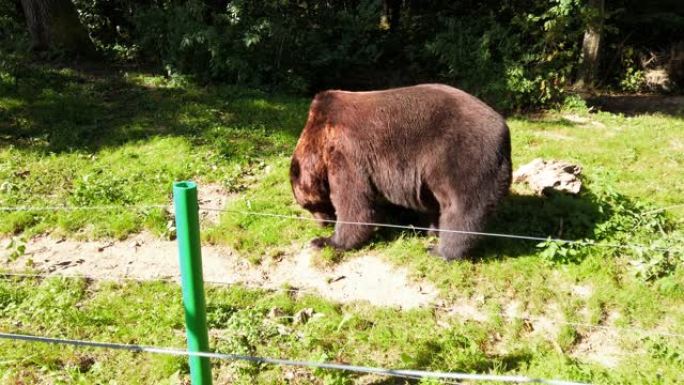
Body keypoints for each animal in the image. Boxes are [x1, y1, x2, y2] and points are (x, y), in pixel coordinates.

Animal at [288, 83, 508, 258]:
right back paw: (431, 230)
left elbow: (354, 203)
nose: (322, 223)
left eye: (308, 206)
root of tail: (504, 129)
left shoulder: (347, 153)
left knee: (461, 206)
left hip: (460, 153)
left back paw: (440, 250)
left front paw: (325, 241)